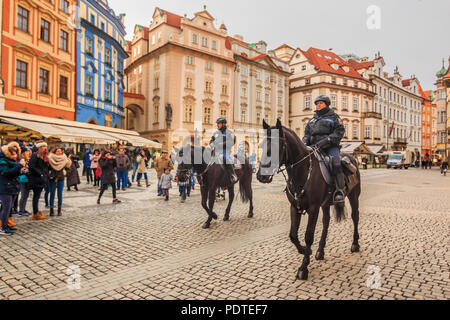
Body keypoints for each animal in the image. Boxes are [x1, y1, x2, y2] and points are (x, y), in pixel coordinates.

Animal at [256, 120, 362, 280]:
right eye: (262, 146)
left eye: (275, 146)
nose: (261, 176)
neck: (303, 171)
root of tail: (352, 158)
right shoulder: (295, 207)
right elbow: (293, 235)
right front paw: (305, 250)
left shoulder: (313, 208)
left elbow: (308, 236)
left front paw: (303, 268)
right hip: (325, 204)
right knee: (326, 222)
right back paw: (320, 251)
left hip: (353, 196)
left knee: (355, 217)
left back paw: (355, 244)